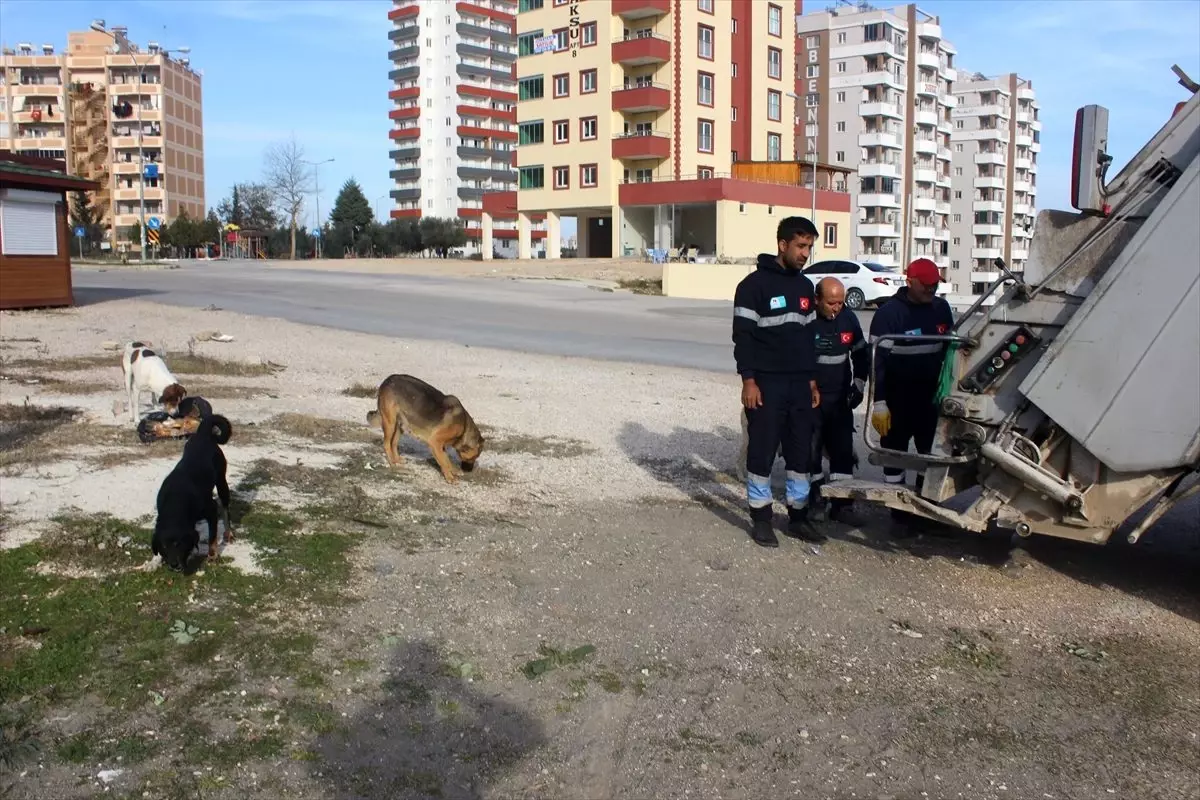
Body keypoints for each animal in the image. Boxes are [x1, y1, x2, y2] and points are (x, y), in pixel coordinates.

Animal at [150, 417, 234, 573]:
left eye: (179, 544)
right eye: (164, 546)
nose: (174, 564)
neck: (176, 502)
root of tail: (203, 435)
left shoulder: (211, 510)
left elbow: (213, 536)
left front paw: (212, 555)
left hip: (221, 481)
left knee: (225, 508)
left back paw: (228, 533)